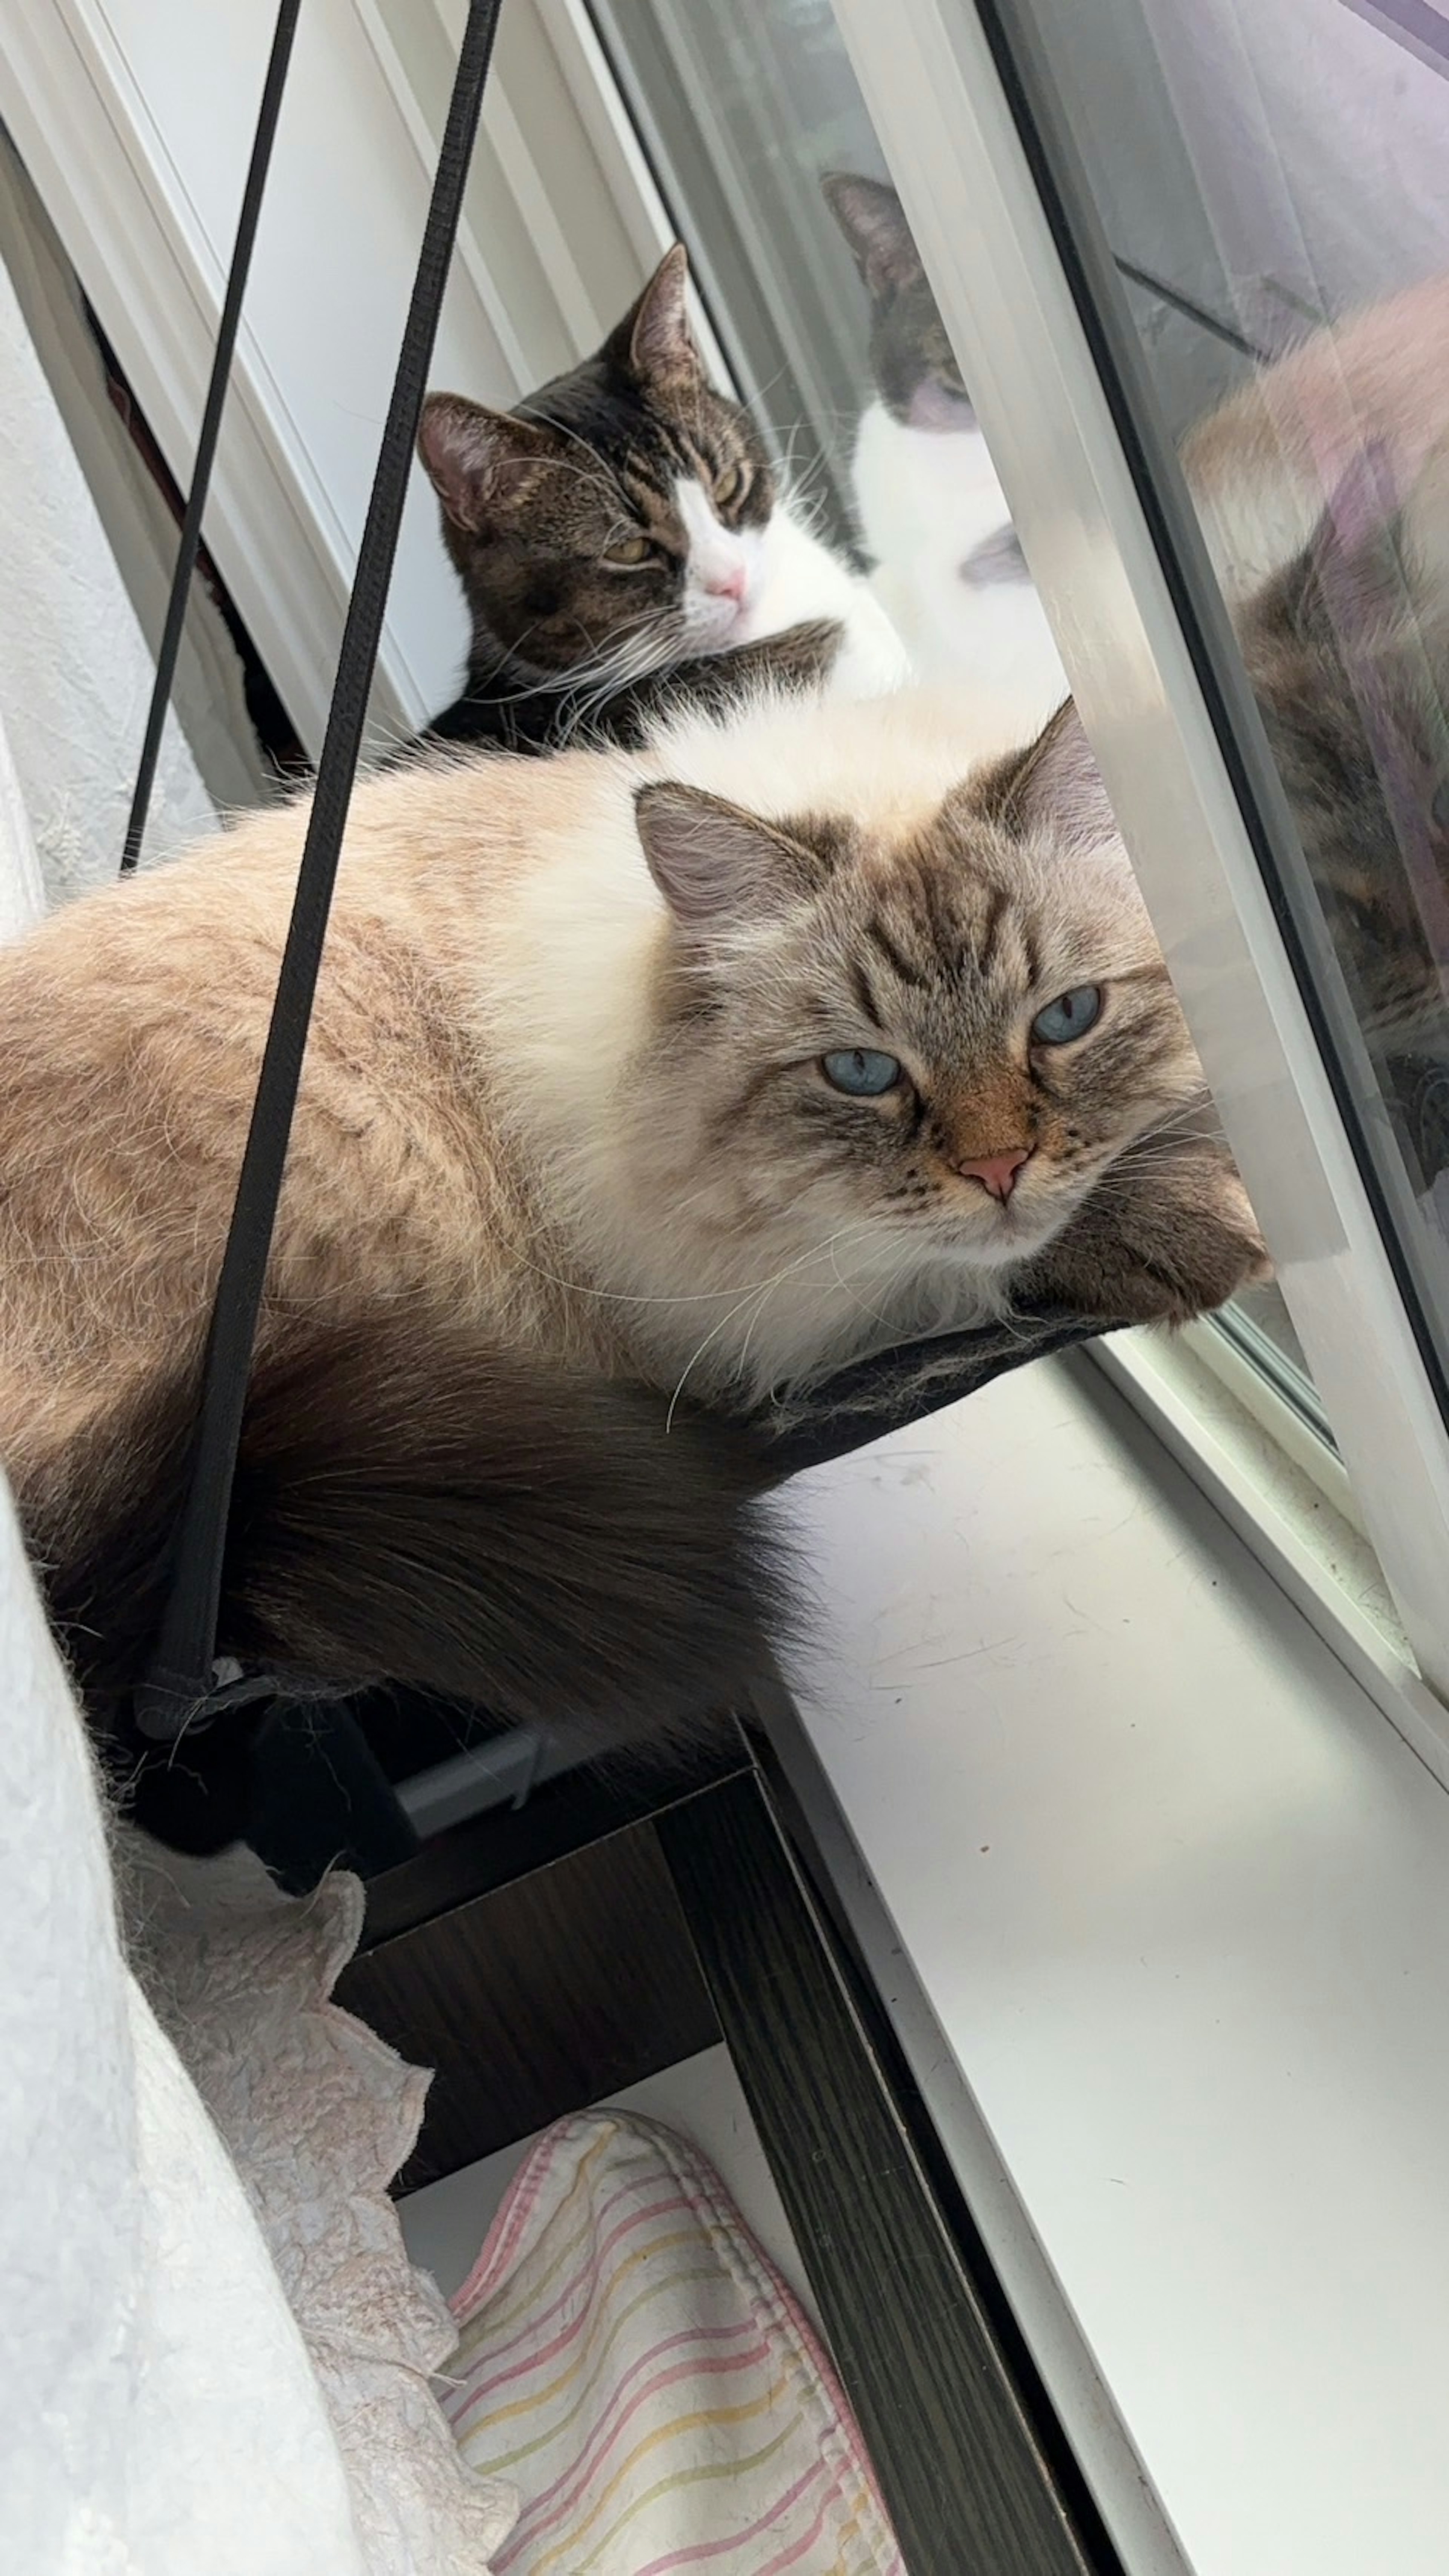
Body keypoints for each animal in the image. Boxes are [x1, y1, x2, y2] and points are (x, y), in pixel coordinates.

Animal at [3, 685, 1253, 1731]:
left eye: (1064, 1019)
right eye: (861, 1073)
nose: (999, 1168)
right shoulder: (775, 1301)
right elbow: (999, 1258)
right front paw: (1206, 1237)